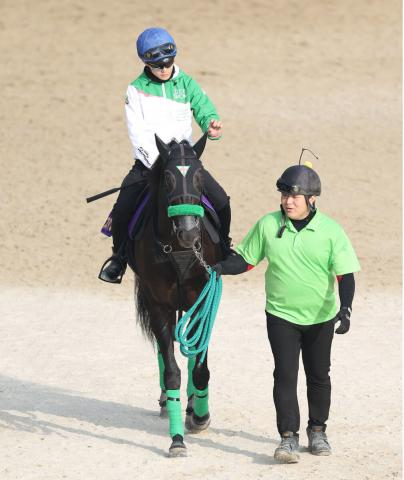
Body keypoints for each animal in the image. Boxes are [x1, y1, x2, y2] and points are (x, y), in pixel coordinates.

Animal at [126, 132, 223, 458]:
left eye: (200, 176)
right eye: (167, 178)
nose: (189, 232)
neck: (179, 251)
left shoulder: (201, 298)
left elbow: (200, 366)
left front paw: (201, 417)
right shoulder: (158, 304)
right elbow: (171, 370)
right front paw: (177, 439)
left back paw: (193, 405)